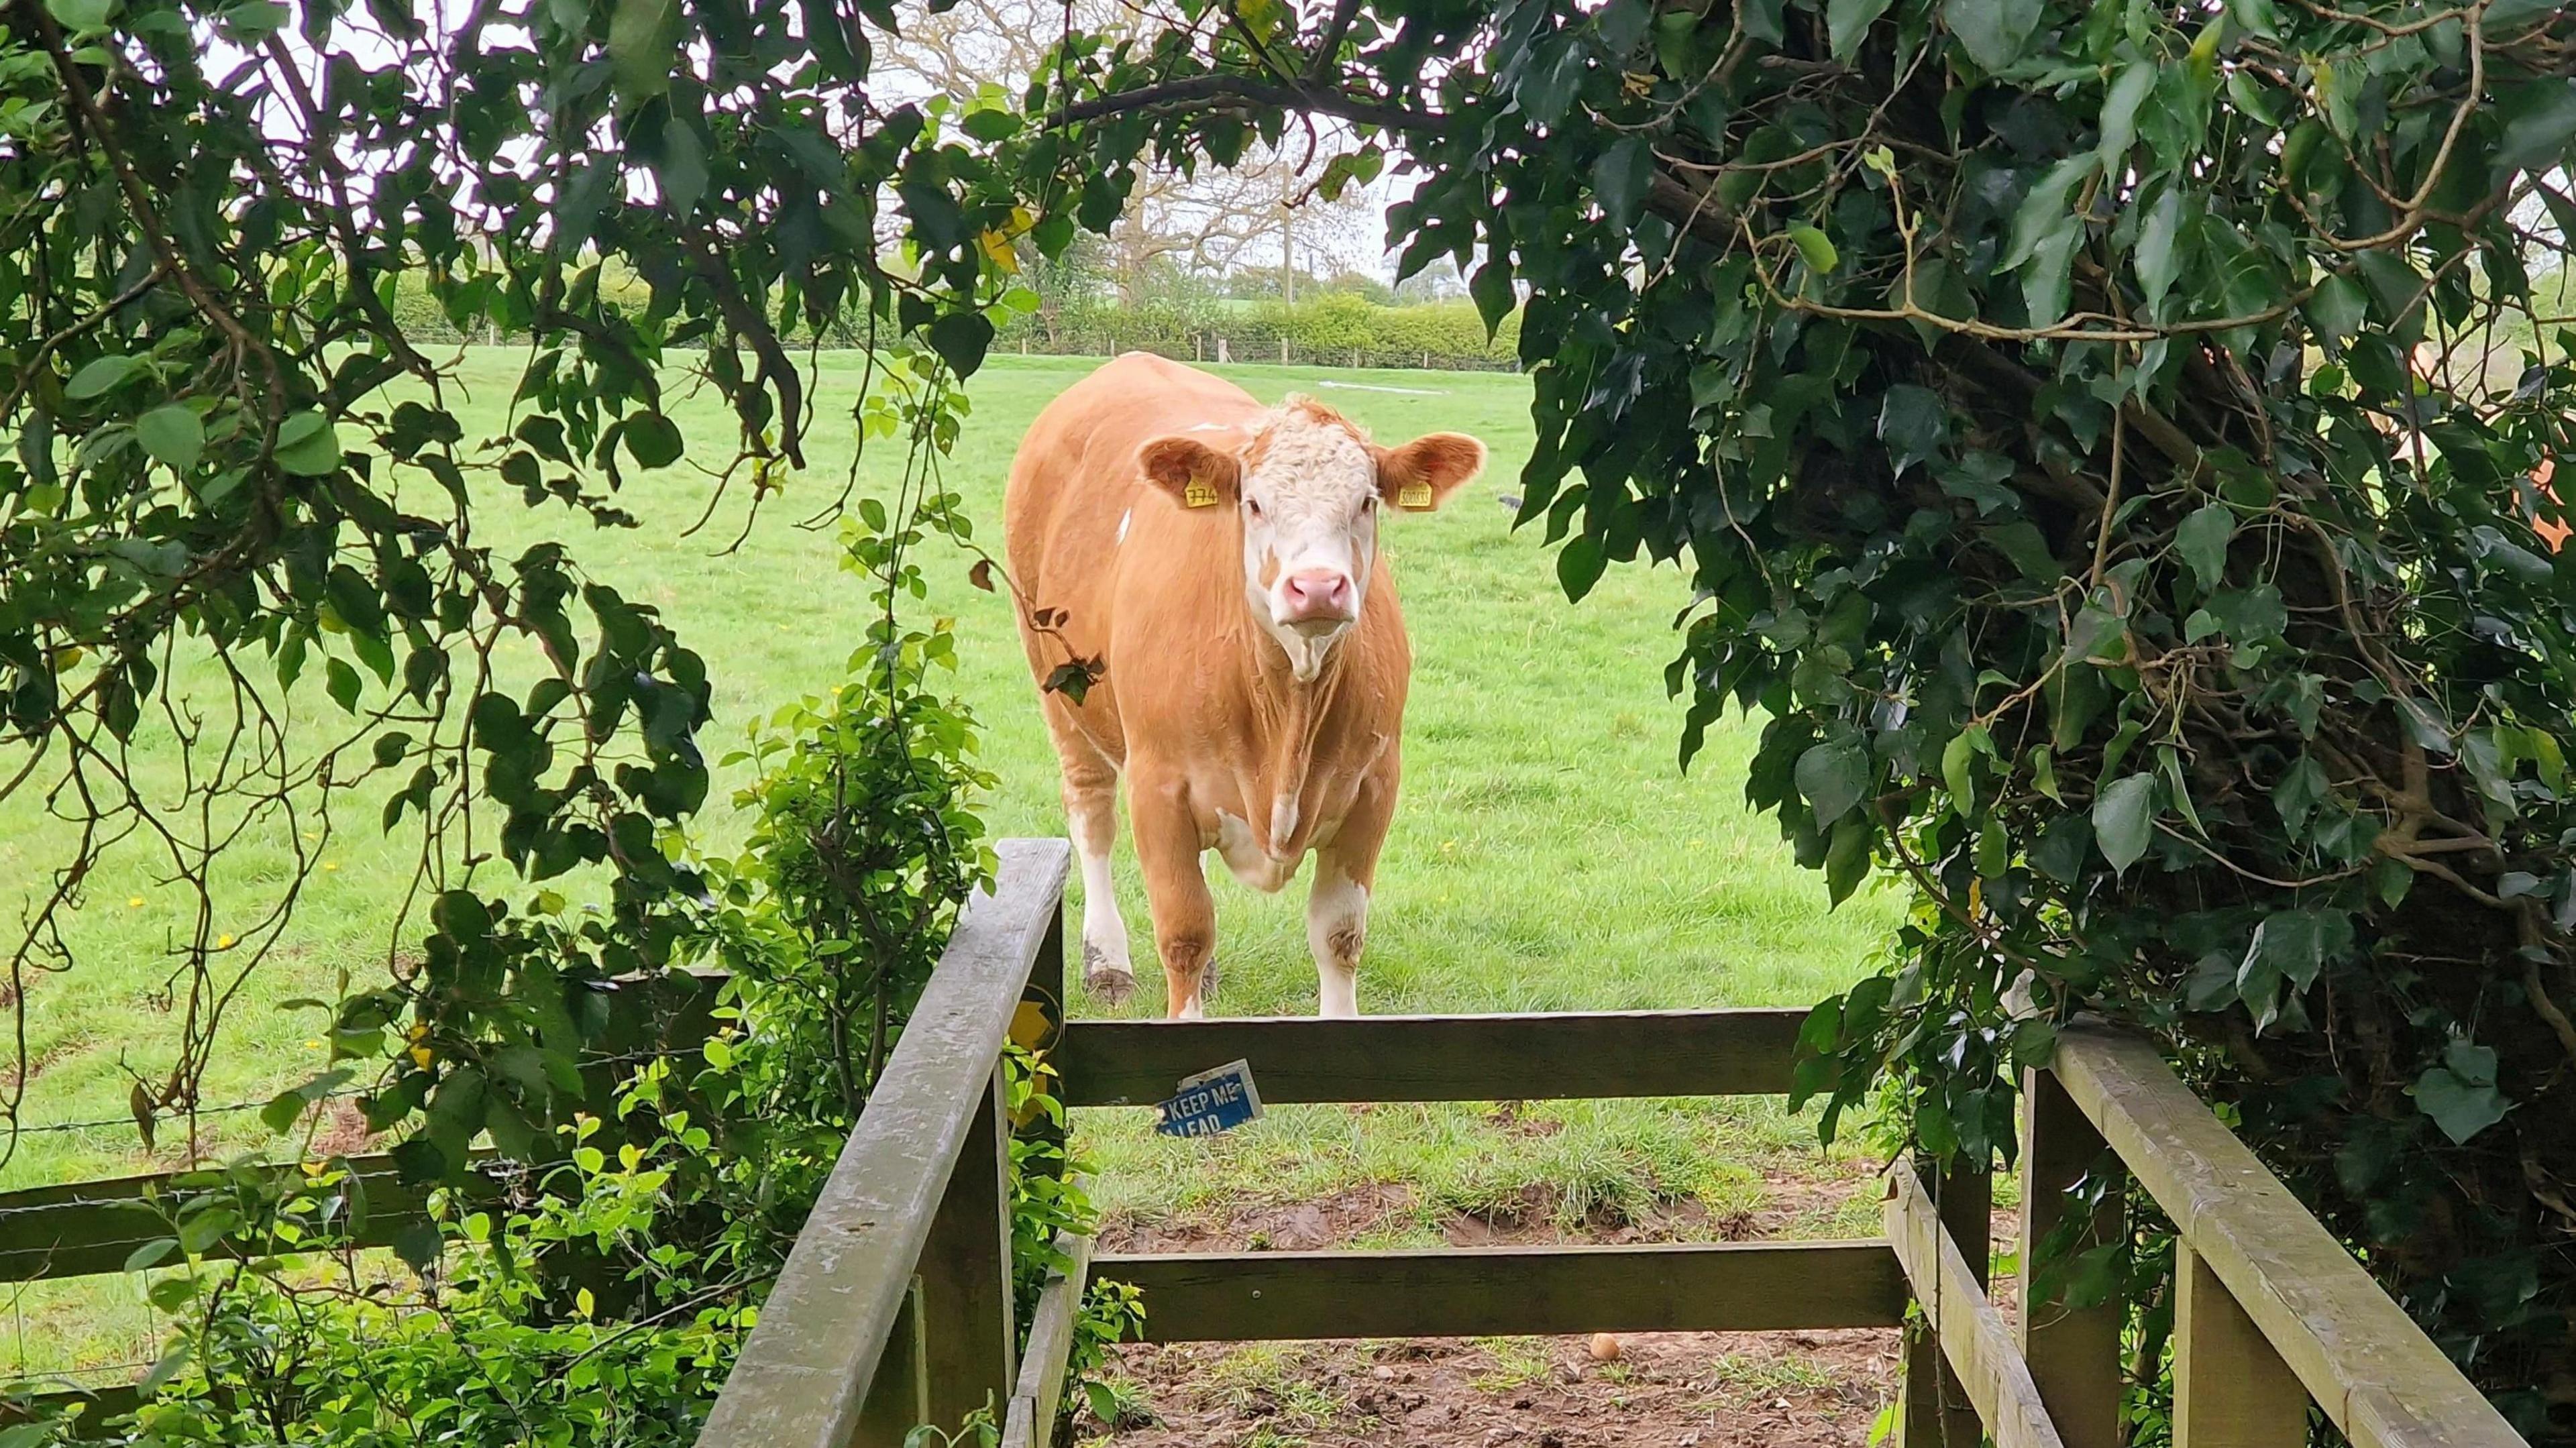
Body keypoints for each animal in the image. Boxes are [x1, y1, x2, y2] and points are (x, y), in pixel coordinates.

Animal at [1004, 350, 1494, 1015]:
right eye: (1254, 503)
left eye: (1366, 501)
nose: (1317, 586)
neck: (1288, 709)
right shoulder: (1157, 785)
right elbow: (1184, 931)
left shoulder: (1375, 785)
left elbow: (1339, 933)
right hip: (1058, 686)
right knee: (1091, 817)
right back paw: (1107, 963)